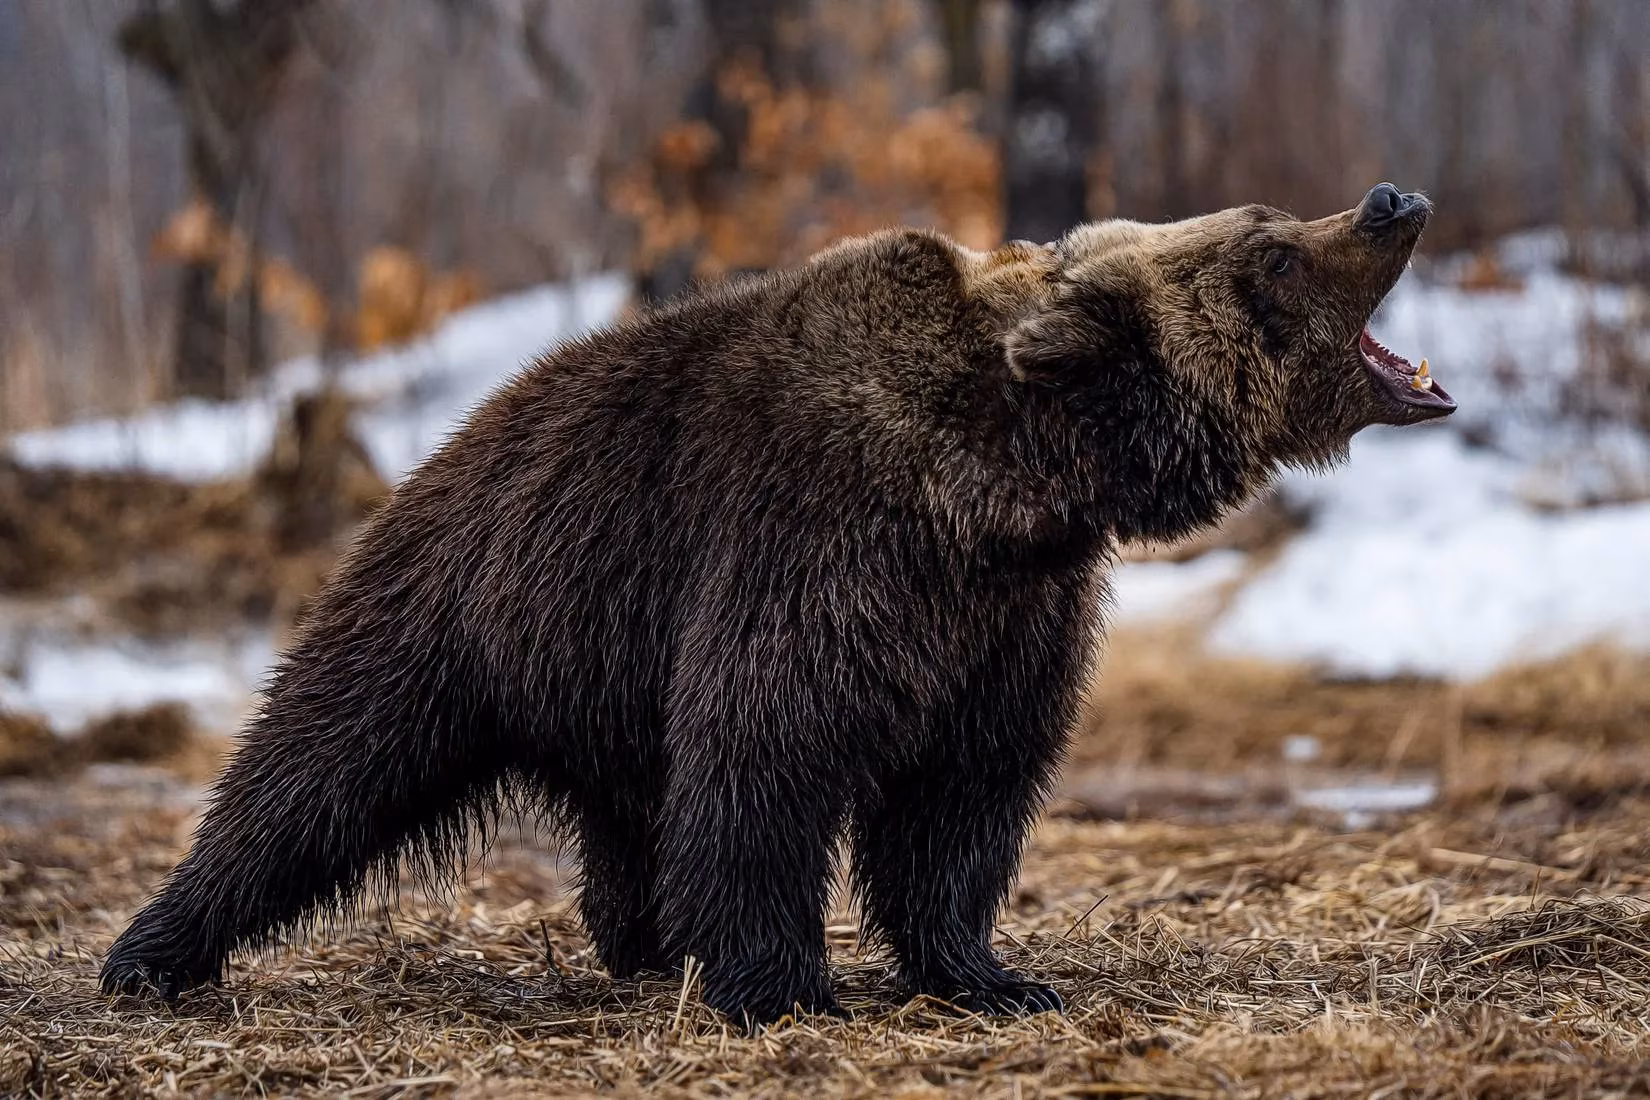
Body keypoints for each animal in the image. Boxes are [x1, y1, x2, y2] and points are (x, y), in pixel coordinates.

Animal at [100, 183, 1452, 1026]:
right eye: (1272, 249)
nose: (1392, 201)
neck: (1001, 489)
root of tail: (464, 423)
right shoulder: (817, 547)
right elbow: (774, 747)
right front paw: (782, 981)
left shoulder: (1013, 616)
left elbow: (966, 792)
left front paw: (992, 972)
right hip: (476, 594)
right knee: (319, 764)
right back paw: (153, 947)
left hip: (608, 664)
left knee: (630, 810)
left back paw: (643, 934)